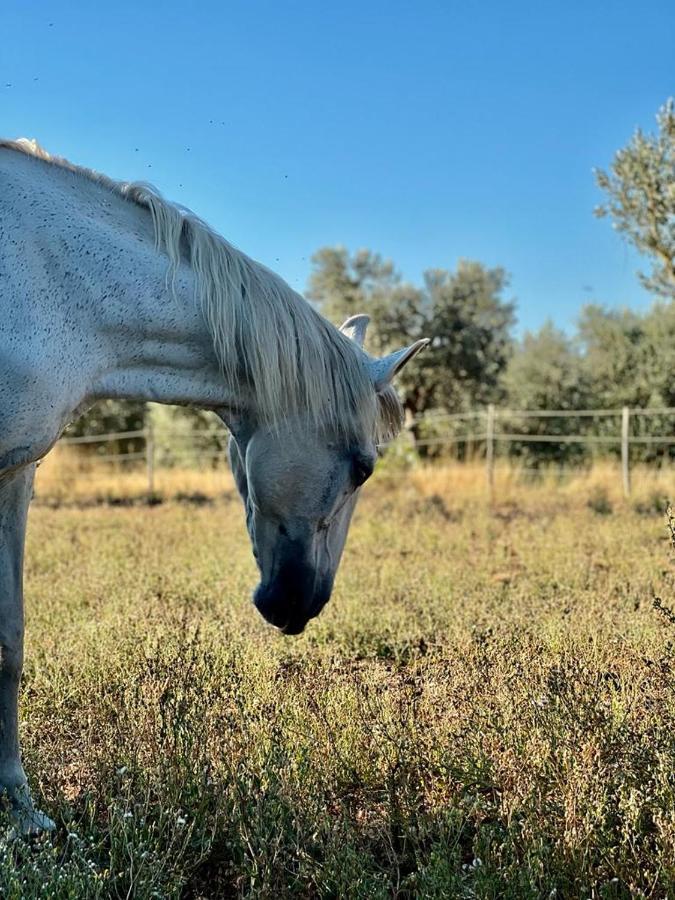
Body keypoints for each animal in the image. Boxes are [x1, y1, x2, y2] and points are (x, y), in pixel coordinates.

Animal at [0, 137, 430, 832]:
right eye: (364, 466)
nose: (303, 603)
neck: (52, 283)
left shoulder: (16, 472)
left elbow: (9, 638)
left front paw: (22, 811)